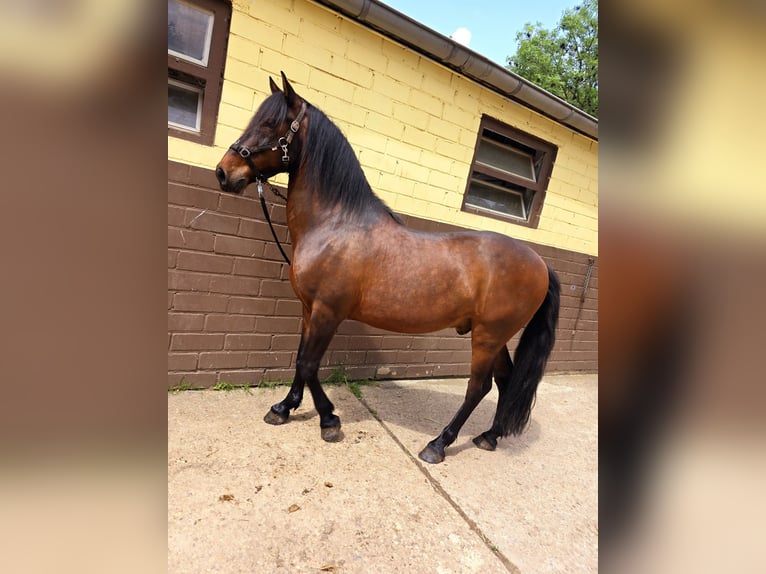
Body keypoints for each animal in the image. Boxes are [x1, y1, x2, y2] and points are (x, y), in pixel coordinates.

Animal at [215, 72, 560, 464]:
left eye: (270, 124)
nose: (223, 172)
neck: (336, 224)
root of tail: (540, 263)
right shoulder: (308, 309)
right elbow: (301, 358)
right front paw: (284, 408)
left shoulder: (328, 312)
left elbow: (309, 364)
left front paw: (329, 420)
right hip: (495, 336)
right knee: (505, 380)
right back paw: (489, 436)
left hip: (488, 336)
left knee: (479, 386)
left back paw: (438, 444)